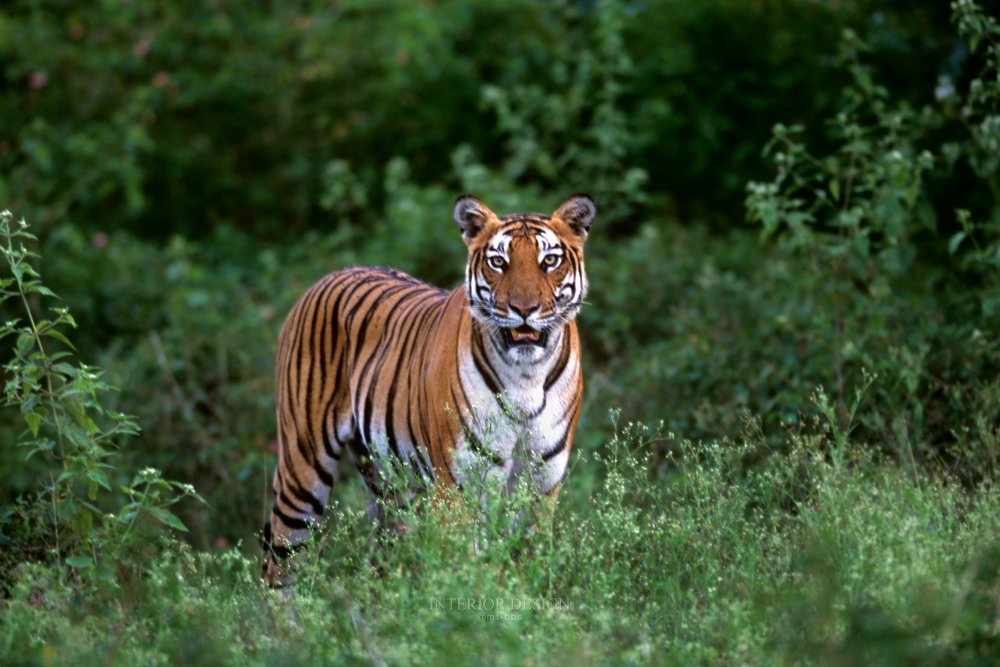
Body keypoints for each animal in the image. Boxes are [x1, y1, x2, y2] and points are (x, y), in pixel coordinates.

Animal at [262, 193, 596, 584]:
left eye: (550, 261)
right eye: (499, 262)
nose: (524, 309)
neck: (526, 375)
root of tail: (331, 275)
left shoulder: (540, 485)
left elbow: (529, 567)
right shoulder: (459, 485)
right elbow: (469, 569)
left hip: (390, 486)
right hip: (303, 467)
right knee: (278, 565)